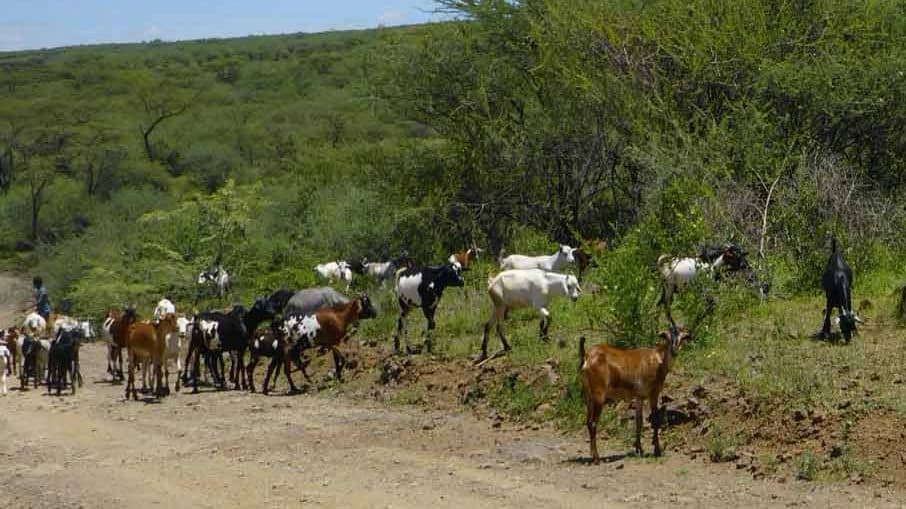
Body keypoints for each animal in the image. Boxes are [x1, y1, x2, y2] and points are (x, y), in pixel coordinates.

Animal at [580, 326, 684, 460]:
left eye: (681, 337)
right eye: (667, 337)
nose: (675, 350)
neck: (657, 359)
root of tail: (587, 356)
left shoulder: (639, 397)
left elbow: (639, 421)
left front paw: (639, 449)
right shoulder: (653, 394)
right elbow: (655, 420)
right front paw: (657, 450)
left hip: (589, 396)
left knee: (588, 422)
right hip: (599, 396)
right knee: (593, 423)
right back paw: (597, 458)